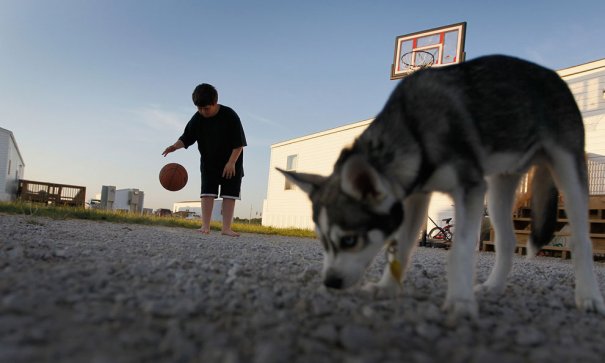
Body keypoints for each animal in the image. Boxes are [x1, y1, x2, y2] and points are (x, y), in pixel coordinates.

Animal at [280, 54, 604, 318]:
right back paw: (494, 287)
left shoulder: (470, 190)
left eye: (349, 240)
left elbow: (459, 249)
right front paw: (387, 288)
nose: (330, 282)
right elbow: (402, 247)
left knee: (581, 239)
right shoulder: (416, 198)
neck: (414, 129)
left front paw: (460, 302)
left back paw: (588, 295)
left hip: (567, 171)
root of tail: (554, 76)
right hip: (500, 188)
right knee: (507, 241)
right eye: (323, 241)